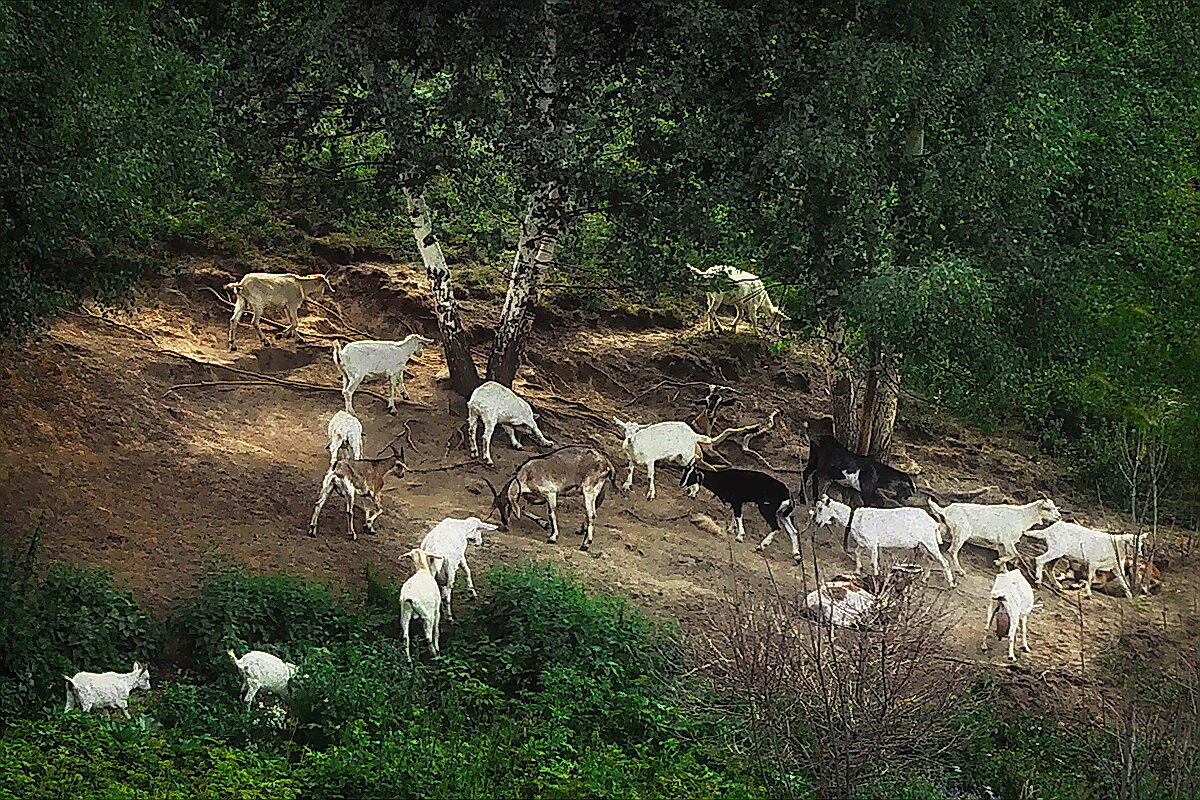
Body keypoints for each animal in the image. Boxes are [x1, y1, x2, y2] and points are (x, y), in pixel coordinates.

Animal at [489, 448, 619, 554]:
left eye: (507, 505)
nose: (504, 524)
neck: (527, 474)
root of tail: (607, 464)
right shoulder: (538, 497)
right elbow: (525, 509)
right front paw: (544, 524)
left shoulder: (550, 493)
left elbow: (552, 513)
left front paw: (552, 537)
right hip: (598, 491)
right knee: (591, 511)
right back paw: (582, 531)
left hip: (589, 489)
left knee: (591, 514)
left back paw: (585, 544)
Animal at [811, 494, 950, 587]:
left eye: (820, 509)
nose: (817, 522)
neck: (854, 518)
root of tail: (934, 523)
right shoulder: (863, 543)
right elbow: (856, 552)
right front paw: (857, 570)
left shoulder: (872, 543)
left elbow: (873, 562)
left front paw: (876, 577)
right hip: (923, 545)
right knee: (930, 560)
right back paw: (924, 578)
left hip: (929, 541)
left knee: (944, 561)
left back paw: (951, 584)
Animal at [926, 494, 1060, 575]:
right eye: (1047, 508)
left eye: (1055, 507)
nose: (1059, 517)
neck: (1021, 517)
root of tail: (945, 510)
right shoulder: (1007, 540)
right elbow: (1015, 554)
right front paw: (997, 562)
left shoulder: (1001, 543)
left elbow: (1007, 555)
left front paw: (1003, 570)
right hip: (961, 533)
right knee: (952, 550)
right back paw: (960, 570)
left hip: (946, 529)